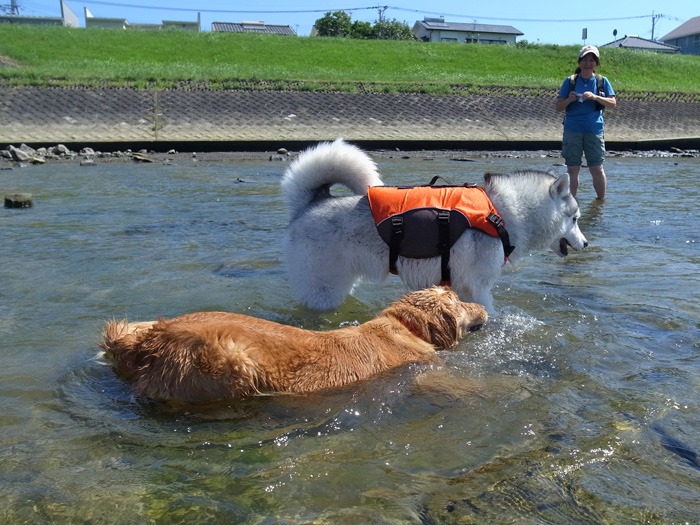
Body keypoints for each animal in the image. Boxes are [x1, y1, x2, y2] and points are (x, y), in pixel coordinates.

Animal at [282, 138, 588, 312]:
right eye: (574, 219)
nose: (586, 243)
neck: (502, 212)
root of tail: (311, 203)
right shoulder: (479, 288)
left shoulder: (462, 287)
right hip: (324, 291)